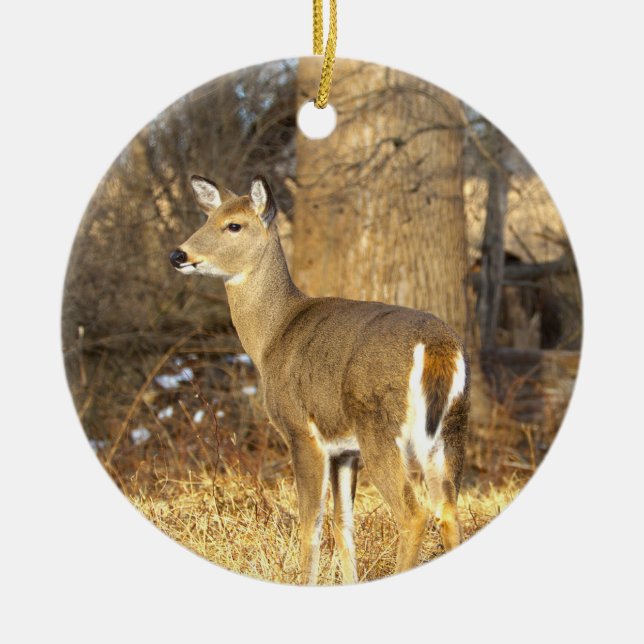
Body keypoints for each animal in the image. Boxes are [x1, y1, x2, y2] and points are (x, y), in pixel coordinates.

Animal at [170, 175, 470, 584]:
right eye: (207, 217)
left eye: (233, 225)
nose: (178, 255)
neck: (271, 337)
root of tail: (439, 347)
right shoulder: (344, 449)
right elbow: (343, 527)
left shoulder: (301, 431)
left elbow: (309, 525)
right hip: (451, 429)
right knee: (448, 509)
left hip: (380, 428)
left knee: (414, 513)